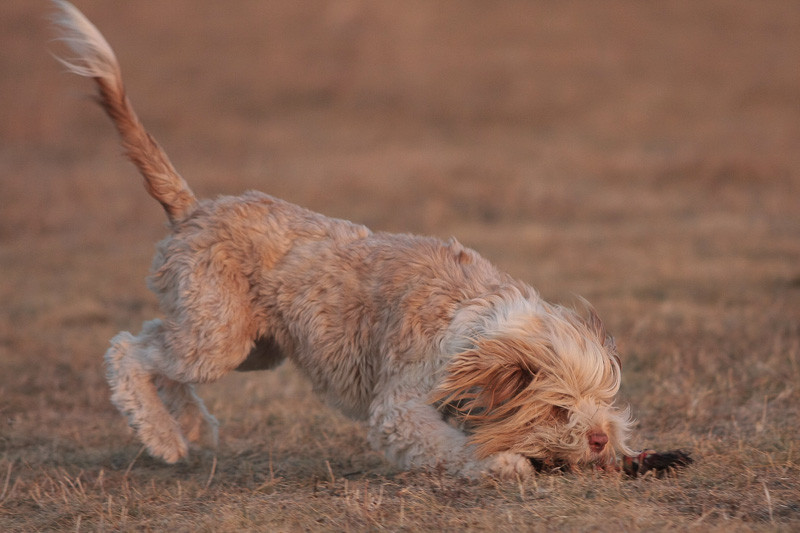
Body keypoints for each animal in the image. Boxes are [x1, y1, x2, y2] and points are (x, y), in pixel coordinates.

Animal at [53, 1, 636, 478]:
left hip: (251, 347)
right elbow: (455, 445)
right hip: (218, 339)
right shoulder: (401, 407)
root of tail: (194, 208)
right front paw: (504, 462)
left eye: (600, 398)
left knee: (156, 344)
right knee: (126, 351)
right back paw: (164, 438)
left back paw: (191, 426)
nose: (600, 439)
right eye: (559, 407)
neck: (477, 332)